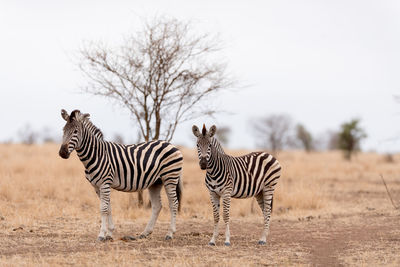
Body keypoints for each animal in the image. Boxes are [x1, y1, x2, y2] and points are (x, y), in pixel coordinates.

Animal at [58, 110, 184, 242]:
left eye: (75, 131)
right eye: (63, 130)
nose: (62, 152)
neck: (97, 155)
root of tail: (170, 144)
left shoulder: (105, 183)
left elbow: (103, 209)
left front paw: (101, 235)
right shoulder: (96, 186)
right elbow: (108, 208)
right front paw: (109, 233)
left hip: (170, 177)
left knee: (174, 203)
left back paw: (170, 234)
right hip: (156, 182)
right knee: (157, 206)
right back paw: (145, 233)